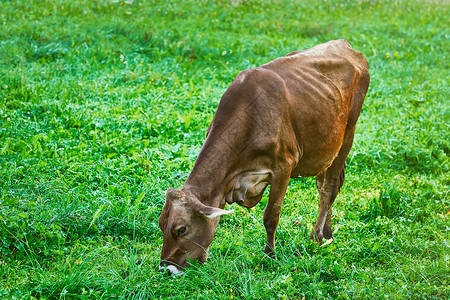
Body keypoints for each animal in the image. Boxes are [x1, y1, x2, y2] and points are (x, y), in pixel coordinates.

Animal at [158, 39, 370, 274]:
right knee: (322, 184)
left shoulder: (283, 167)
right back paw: (327, 233)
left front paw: (270, 255)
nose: (166, 268)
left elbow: (271, 215)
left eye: (181, 229)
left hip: (347, 134)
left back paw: (315, 238)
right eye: (161, 225)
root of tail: (346, 45)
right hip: (326, 147)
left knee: (329, 189)